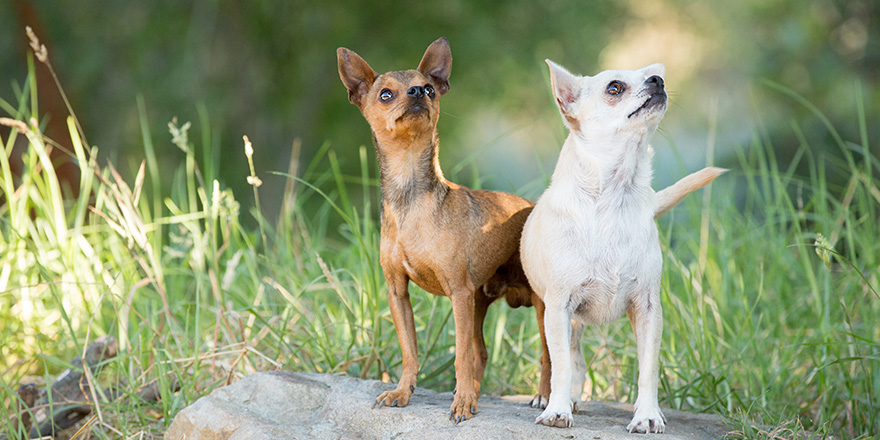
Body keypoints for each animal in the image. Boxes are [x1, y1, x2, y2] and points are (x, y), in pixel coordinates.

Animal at [336, 37, 552, 422]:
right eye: (386, 94)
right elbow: (410, 351)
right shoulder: (399, 294)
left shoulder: (458, 294)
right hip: (479, 301)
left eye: (430, 89)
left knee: (547, 355)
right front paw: (402, 392)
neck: (410, 197)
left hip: (538, 306)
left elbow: (460, 355)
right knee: (481, 352)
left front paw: (463, 402)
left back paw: (543, 397)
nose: (417, 92)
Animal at [524, 59, 720, 434]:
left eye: (652, 76)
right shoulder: (558, 308)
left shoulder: (647, 310)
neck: (614, 199)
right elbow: (561, 365)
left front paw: (647, 415)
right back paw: (557, 398)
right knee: (565, 358)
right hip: (554, 315)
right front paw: (557, 410)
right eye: (614, 88)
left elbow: (648, 369)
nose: (657, 80)